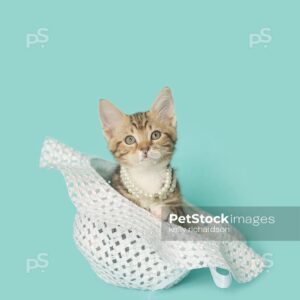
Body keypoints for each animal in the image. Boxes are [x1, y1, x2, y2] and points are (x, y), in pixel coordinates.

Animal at [99, 86, 183, 220]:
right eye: (129, 139)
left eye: (156, 134)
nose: (145, 149)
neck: (147, 175)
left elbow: (175, 212)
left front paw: (160, 208)